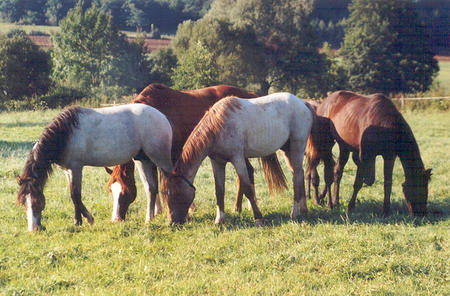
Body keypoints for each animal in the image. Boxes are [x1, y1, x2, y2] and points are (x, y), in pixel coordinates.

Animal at [16, 104, 173, 231]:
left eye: (37, 201)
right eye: (23, 202)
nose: (33, 229)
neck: (65, 134)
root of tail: (163, 117)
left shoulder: (76, 168)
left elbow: (75, 195)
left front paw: (86, 220)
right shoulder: (68, 171)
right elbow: (73, 196)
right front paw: (80, 221)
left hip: (161, 160)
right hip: (143, 160)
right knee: (151, 188)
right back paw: (149, 219)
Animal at [107, 82, 286, 221]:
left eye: (124, 192)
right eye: (110, 190)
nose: (116, 219)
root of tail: (249, 94)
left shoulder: (170, 156)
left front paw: (187, 211)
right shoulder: (143, 160)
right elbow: (150, 187)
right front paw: (154, 214)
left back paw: (241, 206)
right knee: (248, 171)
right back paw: (242, 206)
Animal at [165, 93, 312, 225]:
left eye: (175, 194)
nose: (172, 222)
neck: (217, 128)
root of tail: (303, 103)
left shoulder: (238, 159)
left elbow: (247, 188)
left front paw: (258, 218)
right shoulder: (217, 162)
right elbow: (219, 190)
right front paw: (219, 220)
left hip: (297, 147)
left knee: (296, 176)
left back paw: (294, 213)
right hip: (287, 151)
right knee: (299, 173)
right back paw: (303, 209)